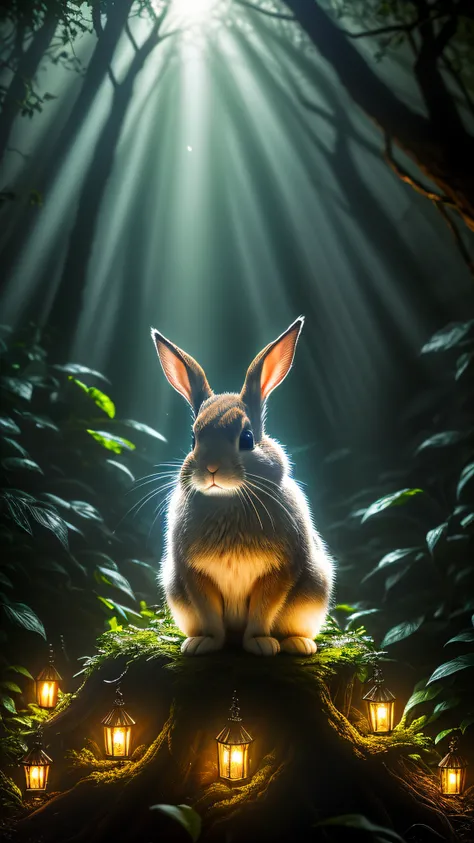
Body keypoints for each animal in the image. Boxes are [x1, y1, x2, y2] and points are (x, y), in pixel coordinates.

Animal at [152, 320, 334, 656]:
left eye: (247, 439)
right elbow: (211, 616)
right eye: (193, 440)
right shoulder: (193, 575)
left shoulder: (279, 572)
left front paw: (260, 644)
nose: (211, 469)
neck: (227, 498)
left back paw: (299, 644)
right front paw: (204, 644)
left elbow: (263, 610)